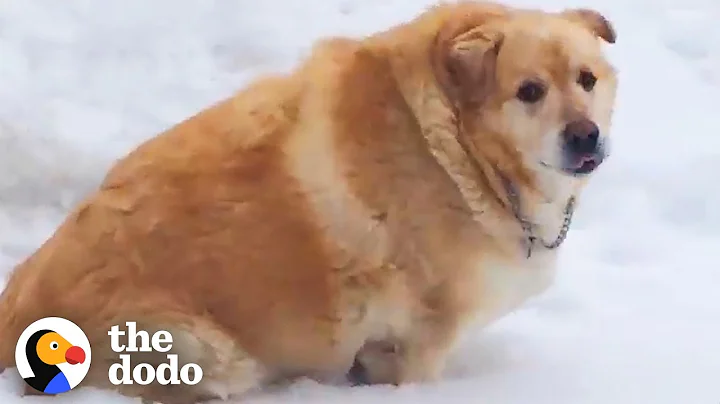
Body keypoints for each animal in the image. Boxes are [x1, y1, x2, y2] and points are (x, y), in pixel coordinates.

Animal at [0, 1, 620, 402]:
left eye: (587, 79)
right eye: (529, 91)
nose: (585, 136)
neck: (458, 145)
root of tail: (14, 320)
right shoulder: (417, 343)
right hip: (204, 352)